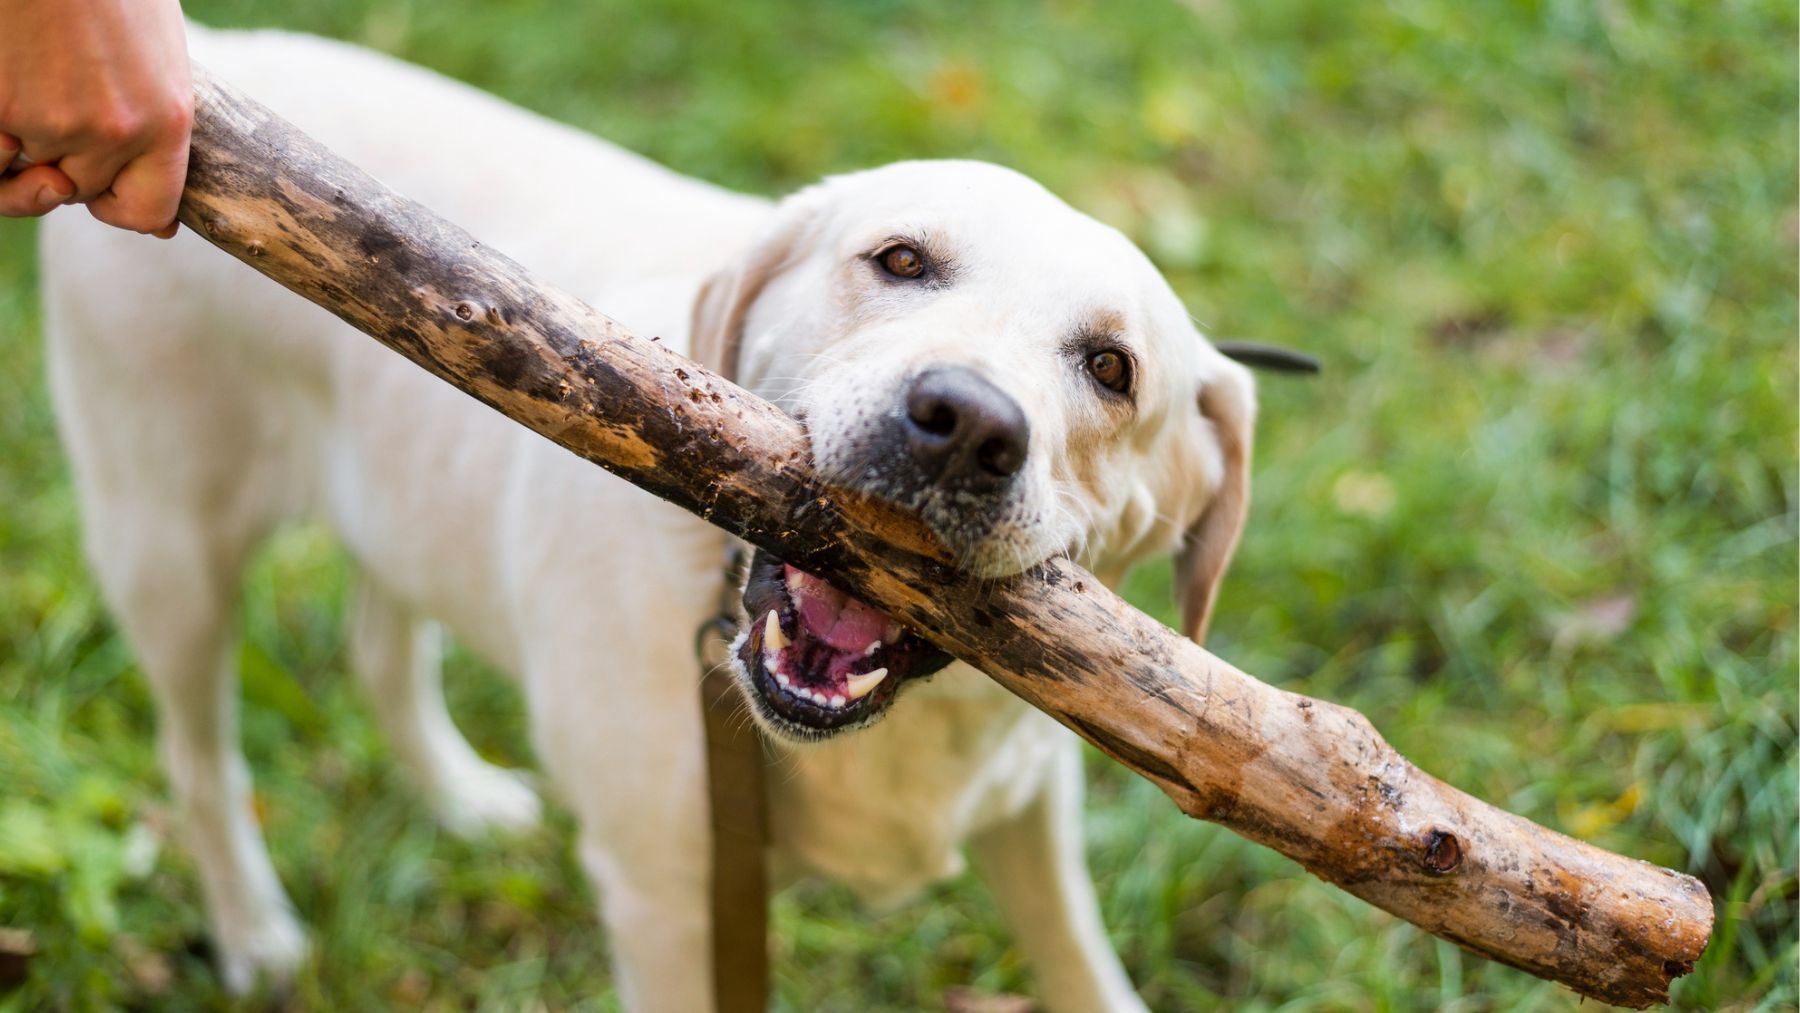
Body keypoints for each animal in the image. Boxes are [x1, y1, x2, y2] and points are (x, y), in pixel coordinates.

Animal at [42, 23, 1260, 1013]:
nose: (962, 424)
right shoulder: (670, 900)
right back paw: (254, 932)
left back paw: (459, 794)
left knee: (381, 644)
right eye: (901, 258)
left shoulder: (1031, 808)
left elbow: (1083, 965)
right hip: (166, 545)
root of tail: (210, 54)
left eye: (1111, 368)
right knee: (199, 756)